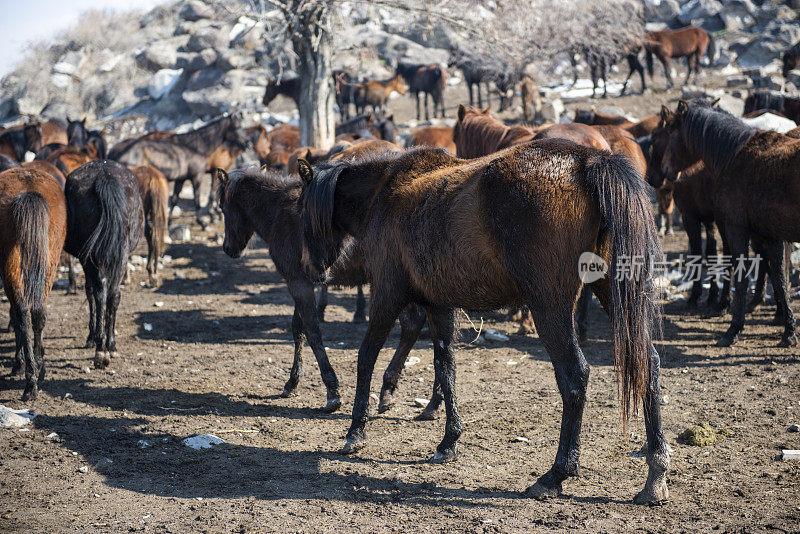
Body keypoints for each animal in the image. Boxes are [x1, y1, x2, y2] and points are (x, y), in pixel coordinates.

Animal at [0, 165, 67, 400]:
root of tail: (28, 191)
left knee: (21, 313)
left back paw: (31, 373)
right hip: (47, 260)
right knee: (36, 312)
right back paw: (35, 375)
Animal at [64, 160, 144, 368]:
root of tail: (104, 175)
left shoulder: (85, 259)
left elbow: (90, 292)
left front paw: (92, 337)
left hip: (92, 257)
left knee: (99, 293)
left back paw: (101, 349)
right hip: (121, 253)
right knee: (113, 295)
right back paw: (110, 346)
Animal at [296, 139, 664, 506]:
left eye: (301, 211)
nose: (312, 270)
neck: (383, 193)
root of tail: (587, 160)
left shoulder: (386, 295)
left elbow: (366, 357)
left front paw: (355, 431)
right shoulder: (438, 306)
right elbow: (445, 366)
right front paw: (449, 440)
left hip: (549, 305)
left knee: (575, 375)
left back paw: (556, 474)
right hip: (613, 293)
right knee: (648, 363)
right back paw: (655, 473)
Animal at [660, 100, 796, 350]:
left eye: (671, 130)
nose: (665, 171)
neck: (734, 155)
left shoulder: (732, 226)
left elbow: (739, 274)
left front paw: (732, 328)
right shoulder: (768, 233)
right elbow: (780, 277)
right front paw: (788, 331)